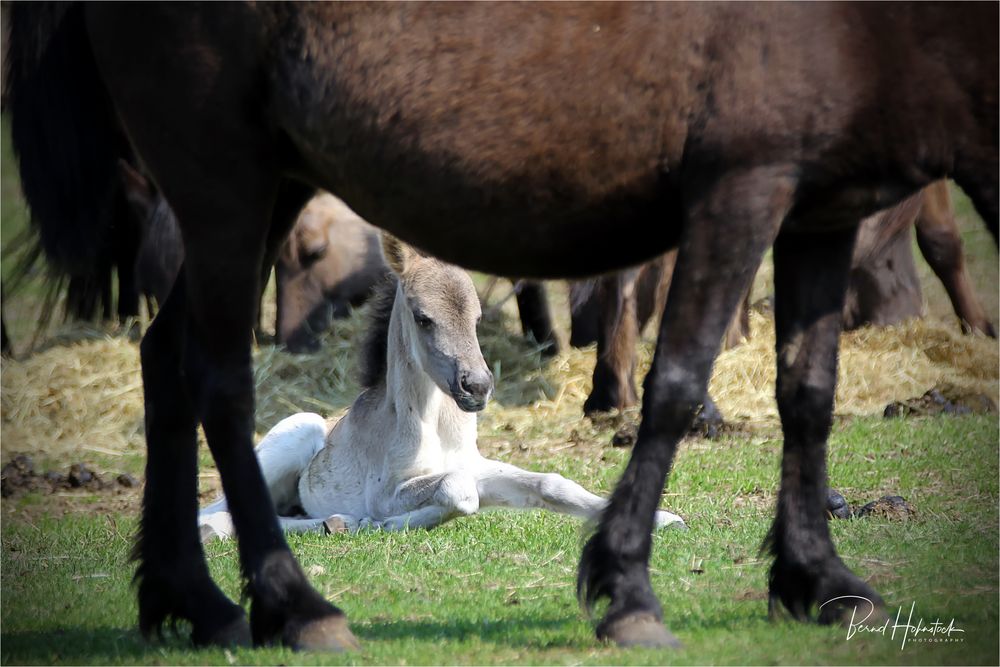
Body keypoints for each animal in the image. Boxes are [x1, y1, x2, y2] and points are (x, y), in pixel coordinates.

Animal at [203, 235, 688, 544]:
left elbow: (551, 483)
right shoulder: (387, 491)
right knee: (218, 514)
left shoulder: (474, 464)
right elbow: (457, 491)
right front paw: (391, 524)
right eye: (423, 318)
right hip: (292, 434)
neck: (434, 425)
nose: (478, 386)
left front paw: (661, 519)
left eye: (477, 317)